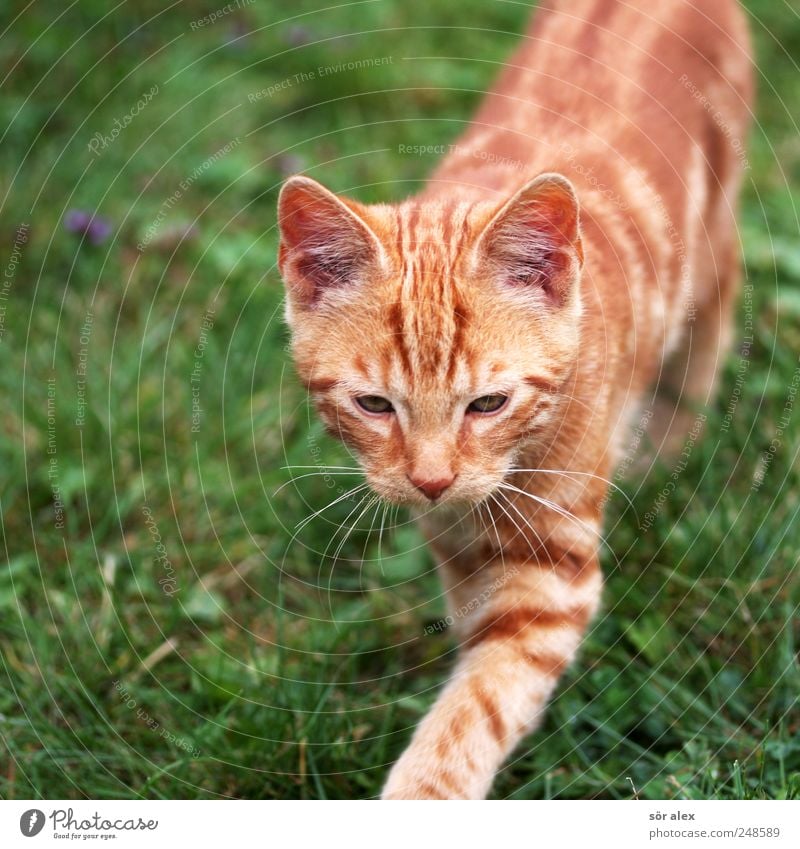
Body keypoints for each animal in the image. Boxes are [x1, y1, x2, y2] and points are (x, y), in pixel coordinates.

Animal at [278, 0, 752, 800]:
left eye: (488, 404)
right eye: (375, 406)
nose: (431, 480)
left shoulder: (550, 579)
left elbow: (480, 702)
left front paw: (421, 793)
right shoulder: (456, 546)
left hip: (714, 218)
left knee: (723, 278)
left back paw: (668, 442)